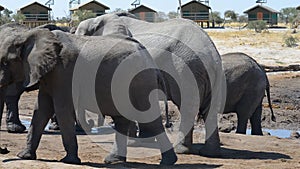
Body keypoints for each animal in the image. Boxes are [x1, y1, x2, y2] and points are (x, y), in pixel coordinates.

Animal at [0, 28, 178, 165]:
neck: (28, 35)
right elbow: (41, 110)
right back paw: (113, 160)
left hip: (140, 82)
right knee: (122, 119)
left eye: (5, 63)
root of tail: (147, 54)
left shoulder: (64, 73)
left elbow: (62, 109)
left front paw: (70, 161)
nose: (6, 150)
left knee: (149, 119)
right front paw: (24, 156)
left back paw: (168, 162)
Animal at [74, 13, 225, 157]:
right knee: (210, 110)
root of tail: (211, 52)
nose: (90, 125)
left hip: (186, 68)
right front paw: (141, 140)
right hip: (211, 75)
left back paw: (181, 150)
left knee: (188, 108)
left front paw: (132, 142)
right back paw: (209, 153)